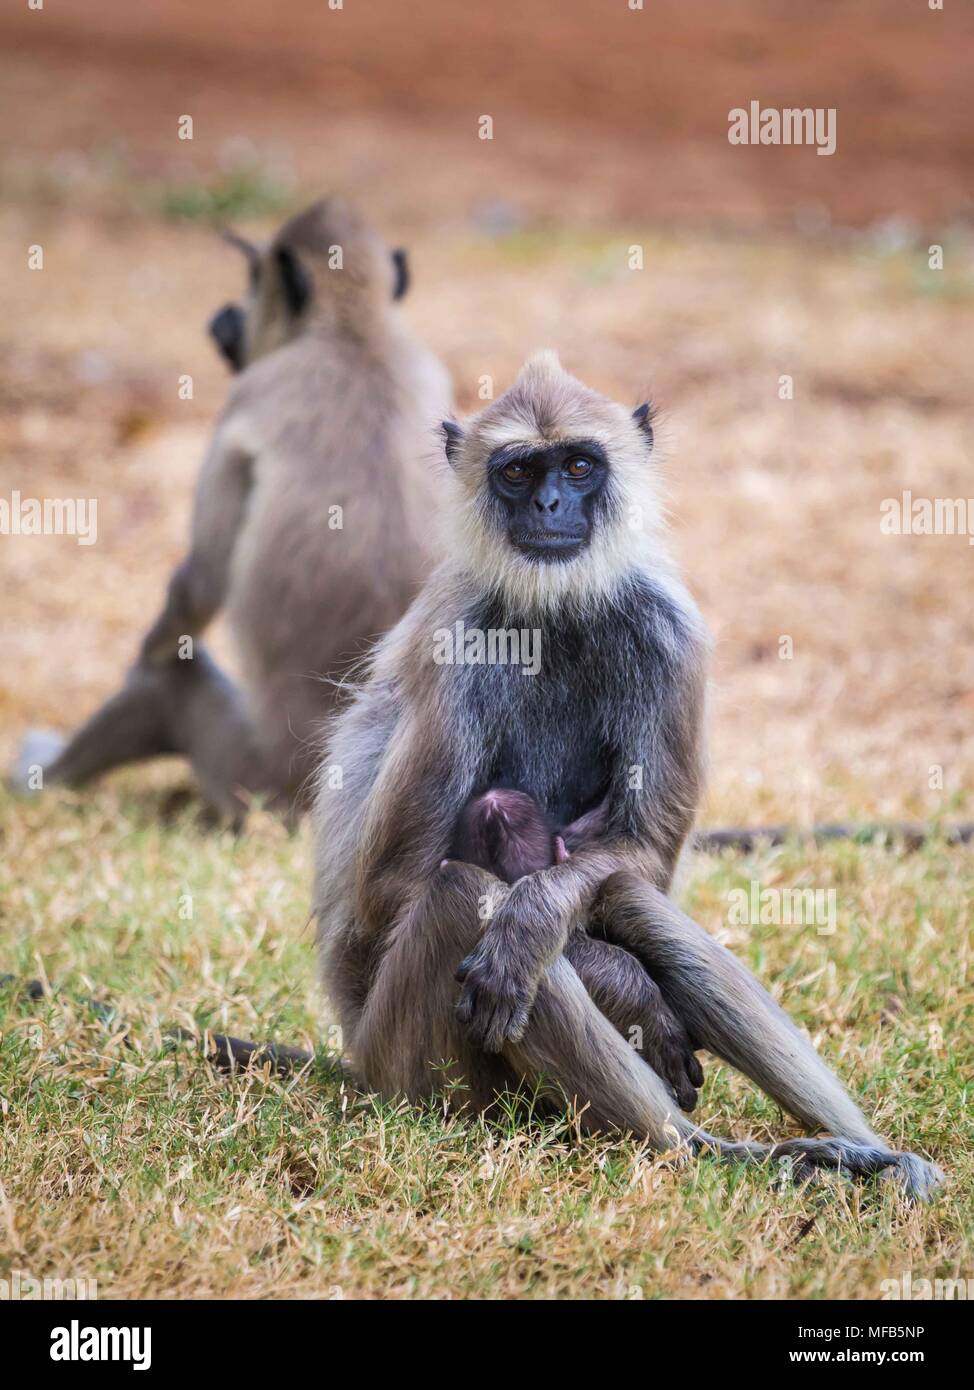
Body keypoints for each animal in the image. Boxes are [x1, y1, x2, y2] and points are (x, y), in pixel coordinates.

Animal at [11, 201, 452, 817]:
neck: (354, 333)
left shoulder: (245, 400)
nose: (225, 315)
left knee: (168, 686)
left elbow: (197, 591)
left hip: (252, 774)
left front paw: (148, 649)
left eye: (251, 280)